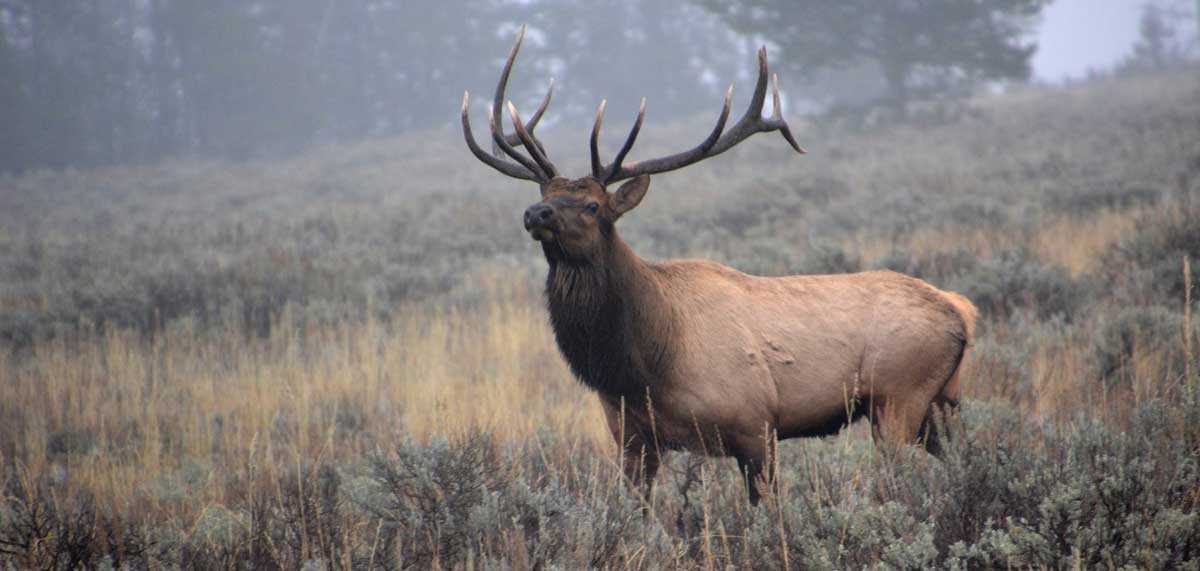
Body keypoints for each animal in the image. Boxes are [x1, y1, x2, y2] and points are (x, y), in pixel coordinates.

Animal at [458, 26, 974, 501]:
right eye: (545, 193)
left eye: (592, 206)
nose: (535, 214)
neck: (643, 366)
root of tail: (961, 310)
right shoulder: (631, 438)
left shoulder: (756, 424)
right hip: (939, 404)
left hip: (899, 395)